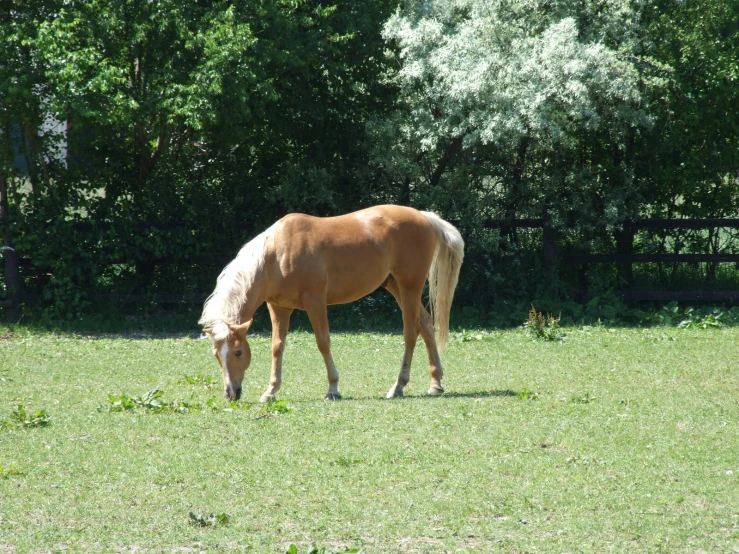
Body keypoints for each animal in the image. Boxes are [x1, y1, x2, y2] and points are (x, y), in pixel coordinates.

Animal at [199, 203, 466, 402]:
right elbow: (277, 347)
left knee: (411, 332)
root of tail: (424, 217)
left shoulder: (315, 301)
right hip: (395, 286)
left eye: (238, 351)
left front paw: (333, 389)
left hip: (409, 286)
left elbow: (323, 342)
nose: (231, 394)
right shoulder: (279, 307)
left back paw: (398, 387)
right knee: (426, 324)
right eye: (216, 355)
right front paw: (270, 391)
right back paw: (435, 383)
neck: (276, 255)